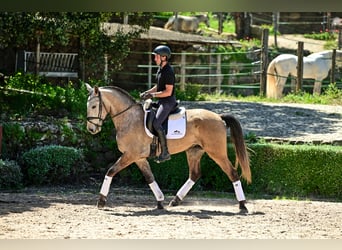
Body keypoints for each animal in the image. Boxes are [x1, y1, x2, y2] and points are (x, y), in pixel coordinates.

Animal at [85, 83, 251, 213]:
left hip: (217, 152)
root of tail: (219, 117)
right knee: (195, 174)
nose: (91, 129)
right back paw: (176, 200)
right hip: (194, 151)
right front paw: (160, 201)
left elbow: (111, 171)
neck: (129, 118)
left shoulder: (130, 155)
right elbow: (149, 177)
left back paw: (242, 205)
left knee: (232, 173)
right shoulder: (138, 157)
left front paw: (101, 201)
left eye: (93, 106)